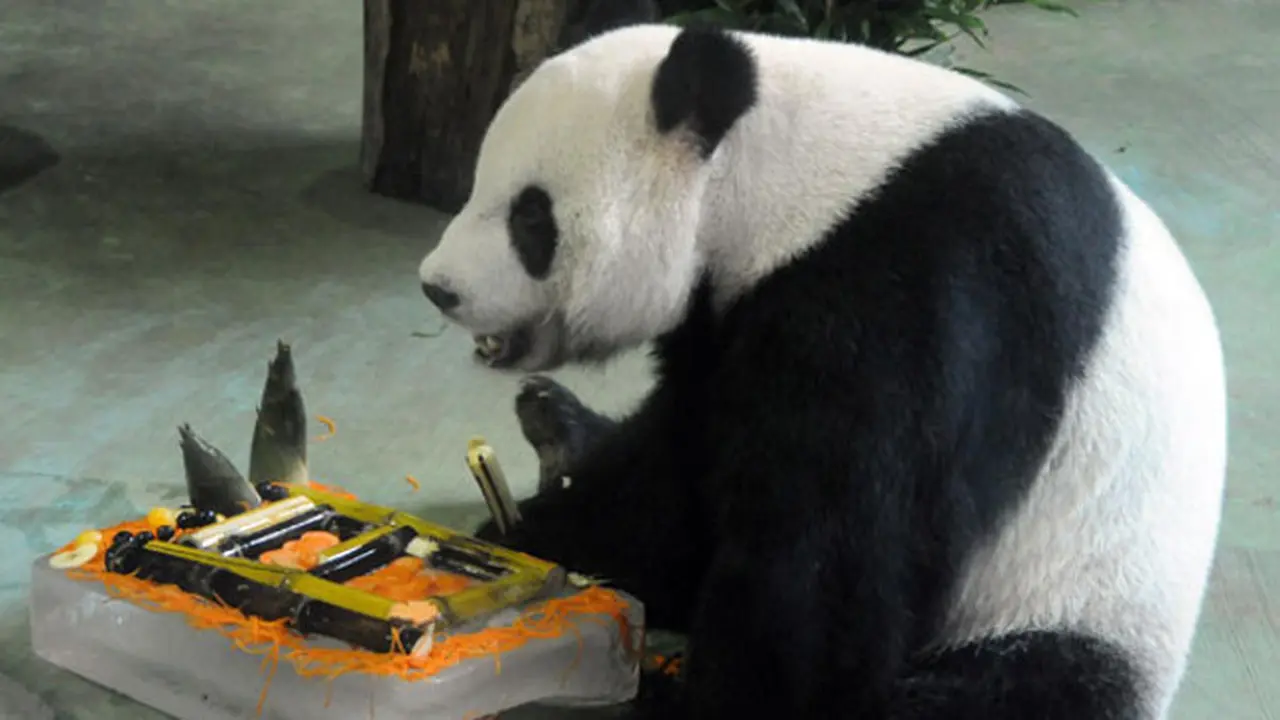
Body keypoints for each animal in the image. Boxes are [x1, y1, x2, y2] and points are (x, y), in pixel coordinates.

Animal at [415, 1, 1229, 718]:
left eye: (531, 217)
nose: (437, 287)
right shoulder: (729, 316)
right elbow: (682, 468)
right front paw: (534, 534)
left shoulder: (913, 293)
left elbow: (827, 558)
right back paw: (558, 425)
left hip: (1076, 604)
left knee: (1005, 693)